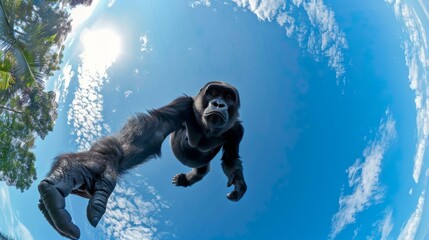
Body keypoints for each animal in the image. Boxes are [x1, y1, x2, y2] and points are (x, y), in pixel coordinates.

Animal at [38, 81, 246, 239]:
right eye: (213, 93)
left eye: (228, 97)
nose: (218, 104)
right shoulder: (183, 105)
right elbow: (154, 130)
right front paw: (88, 165)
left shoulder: (237, 131)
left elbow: (231, 158)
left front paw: (238, 184)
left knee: (204, 168)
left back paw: (189, 178)